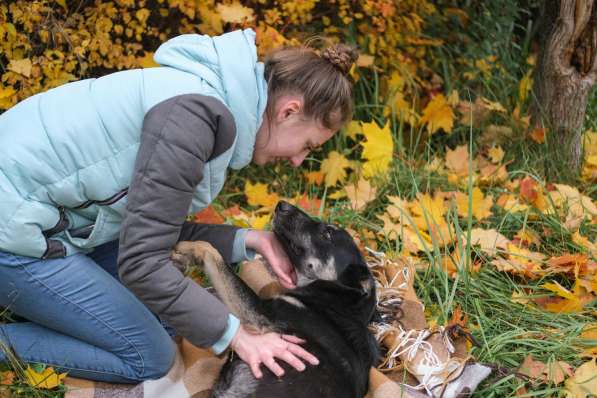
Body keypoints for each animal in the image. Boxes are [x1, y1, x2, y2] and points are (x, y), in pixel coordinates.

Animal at [172, 202, 378, 398]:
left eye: (327, 233)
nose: (282, 204)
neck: (337, 303)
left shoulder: (259, 316)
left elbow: (210, 250)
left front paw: (184, 248)